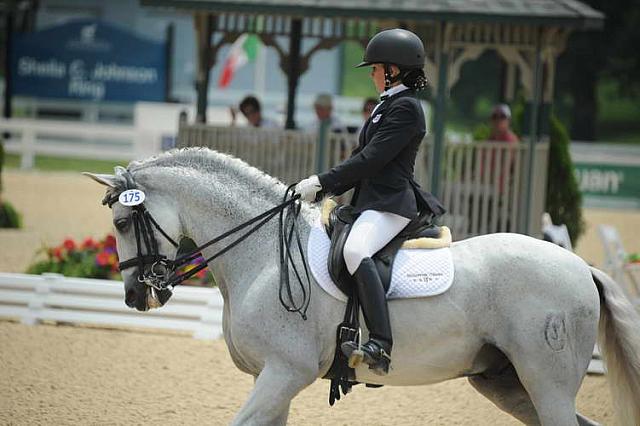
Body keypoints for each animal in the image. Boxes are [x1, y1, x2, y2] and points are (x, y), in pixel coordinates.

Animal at [85, 148, 640, 424]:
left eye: (121, 221)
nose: (137, 295)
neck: (261, 252)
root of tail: (580, 267)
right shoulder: (274, 379)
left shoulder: (284, 373)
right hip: (504, 383)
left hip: (545, 381)